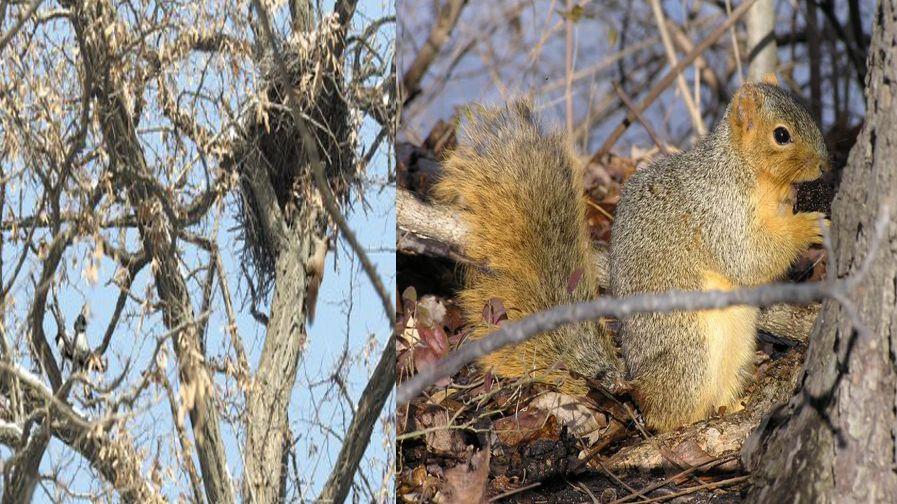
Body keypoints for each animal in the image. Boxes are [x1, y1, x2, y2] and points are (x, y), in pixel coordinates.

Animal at [434, 77, 824, 432]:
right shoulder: (716, 210)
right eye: (782, 135)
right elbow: (746, 256)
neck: (748, 173)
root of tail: (634, 388)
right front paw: (808, 227)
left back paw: (735, 405)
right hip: (690, 350)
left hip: (738, 351)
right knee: (669, 415)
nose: (824, 164)